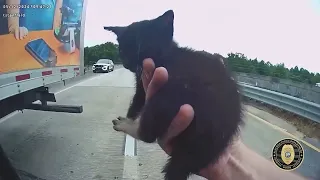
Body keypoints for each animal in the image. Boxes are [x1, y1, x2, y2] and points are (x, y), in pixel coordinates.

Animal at [105, 10, 242, 180]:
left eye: (143, 46)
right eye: (123, 51)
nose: (128, 63)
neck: (167, 55)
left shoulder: (146, 85)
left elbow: (137, 102)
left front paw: (129, 118)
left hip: (170, 94)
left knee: (148, 135)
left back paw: (128, 126)